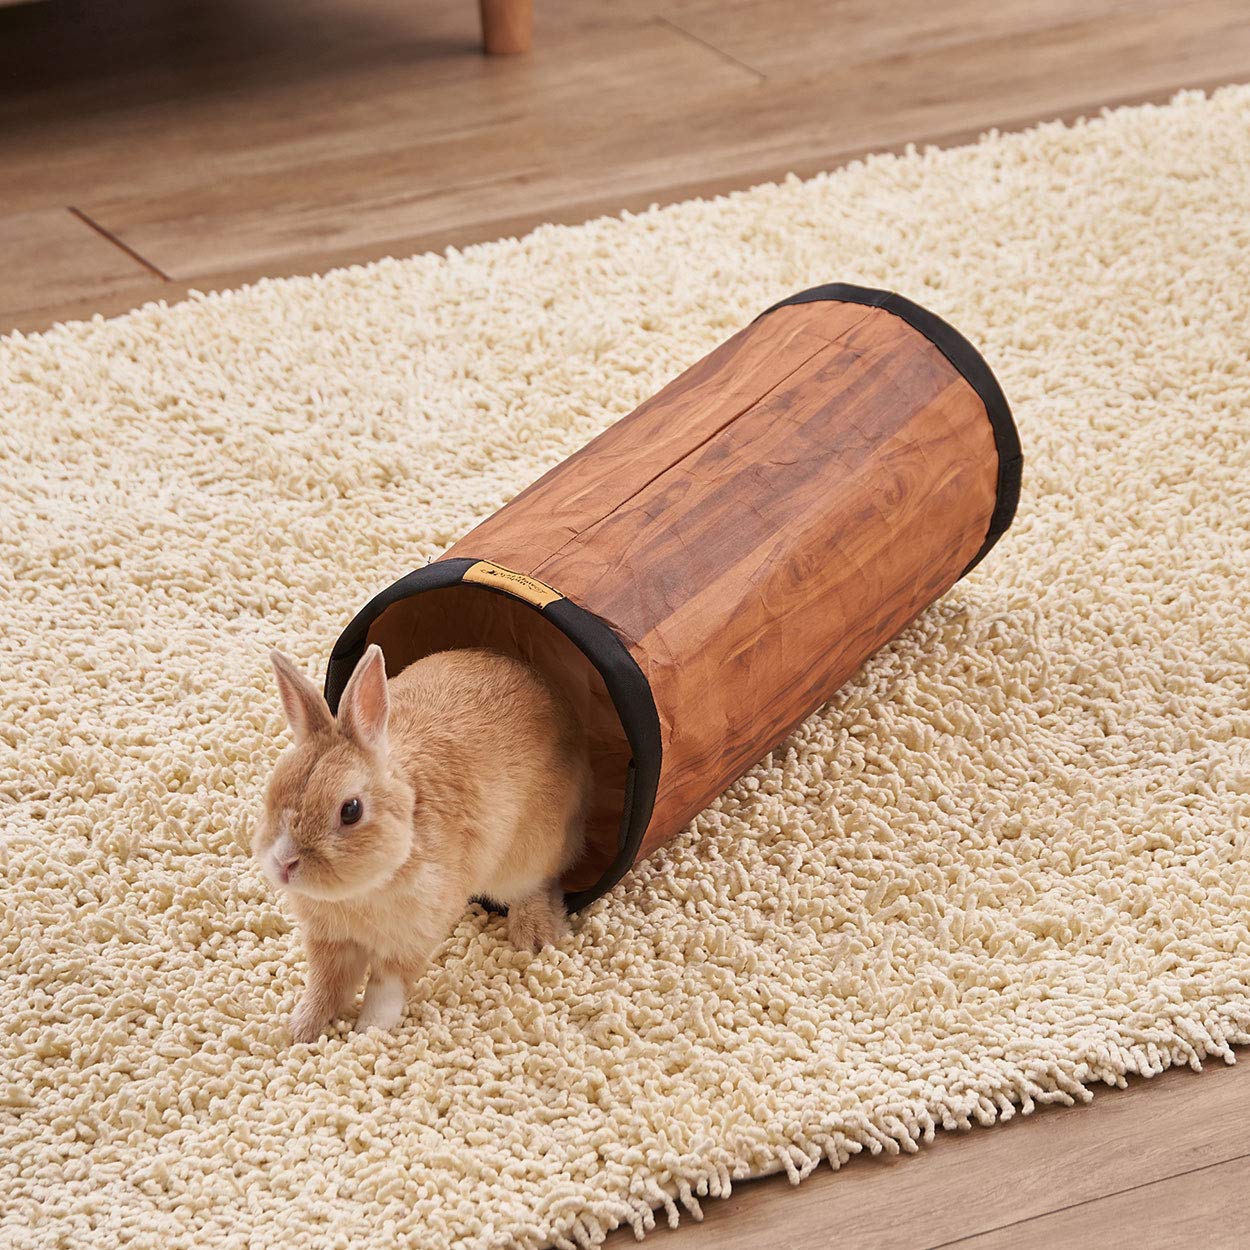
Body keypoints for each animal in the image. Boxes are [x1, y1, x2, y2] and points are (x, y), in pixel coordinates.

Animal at [254, 643, 590, 1043]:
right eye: (272, 789)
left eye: (351, 810)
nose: (284, 864)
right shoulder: (330, 943)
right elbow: (326, 985)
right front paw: (300, 1030)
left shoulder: (410, 941)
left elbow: (385, 989)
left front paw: (369, 1033)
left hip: (530, 854)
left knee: (538, 886)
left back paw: (533, 937)